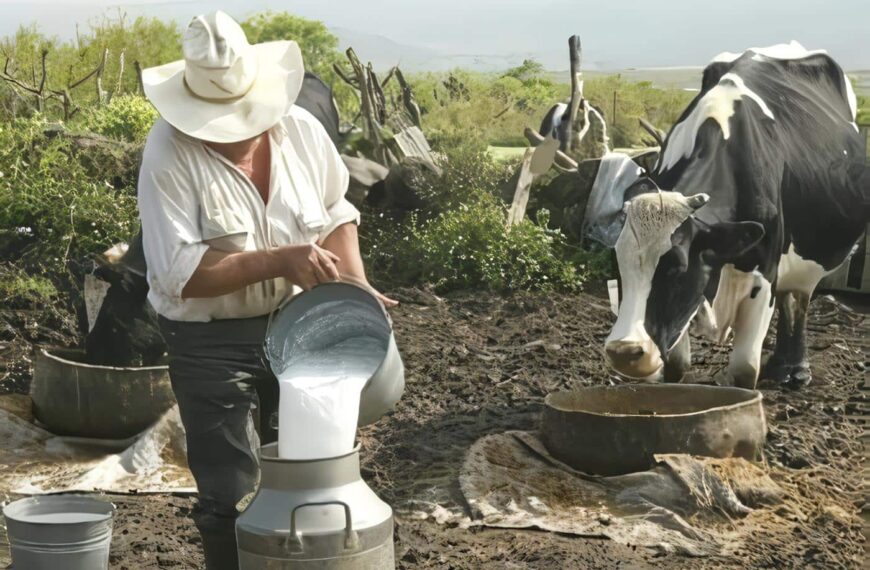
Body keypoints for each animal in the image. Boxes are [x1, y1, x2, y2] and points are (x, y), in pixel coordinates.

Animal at [604, 42, 868, 388]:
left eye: (677, 268)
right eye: (617, 264)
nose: (624, 351)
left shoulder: (764, 271)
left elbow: (744, 370)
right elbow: (676, 367)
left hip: (809, 260)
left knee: (799, 301)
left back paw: (796, 369)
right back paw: (780, 365)